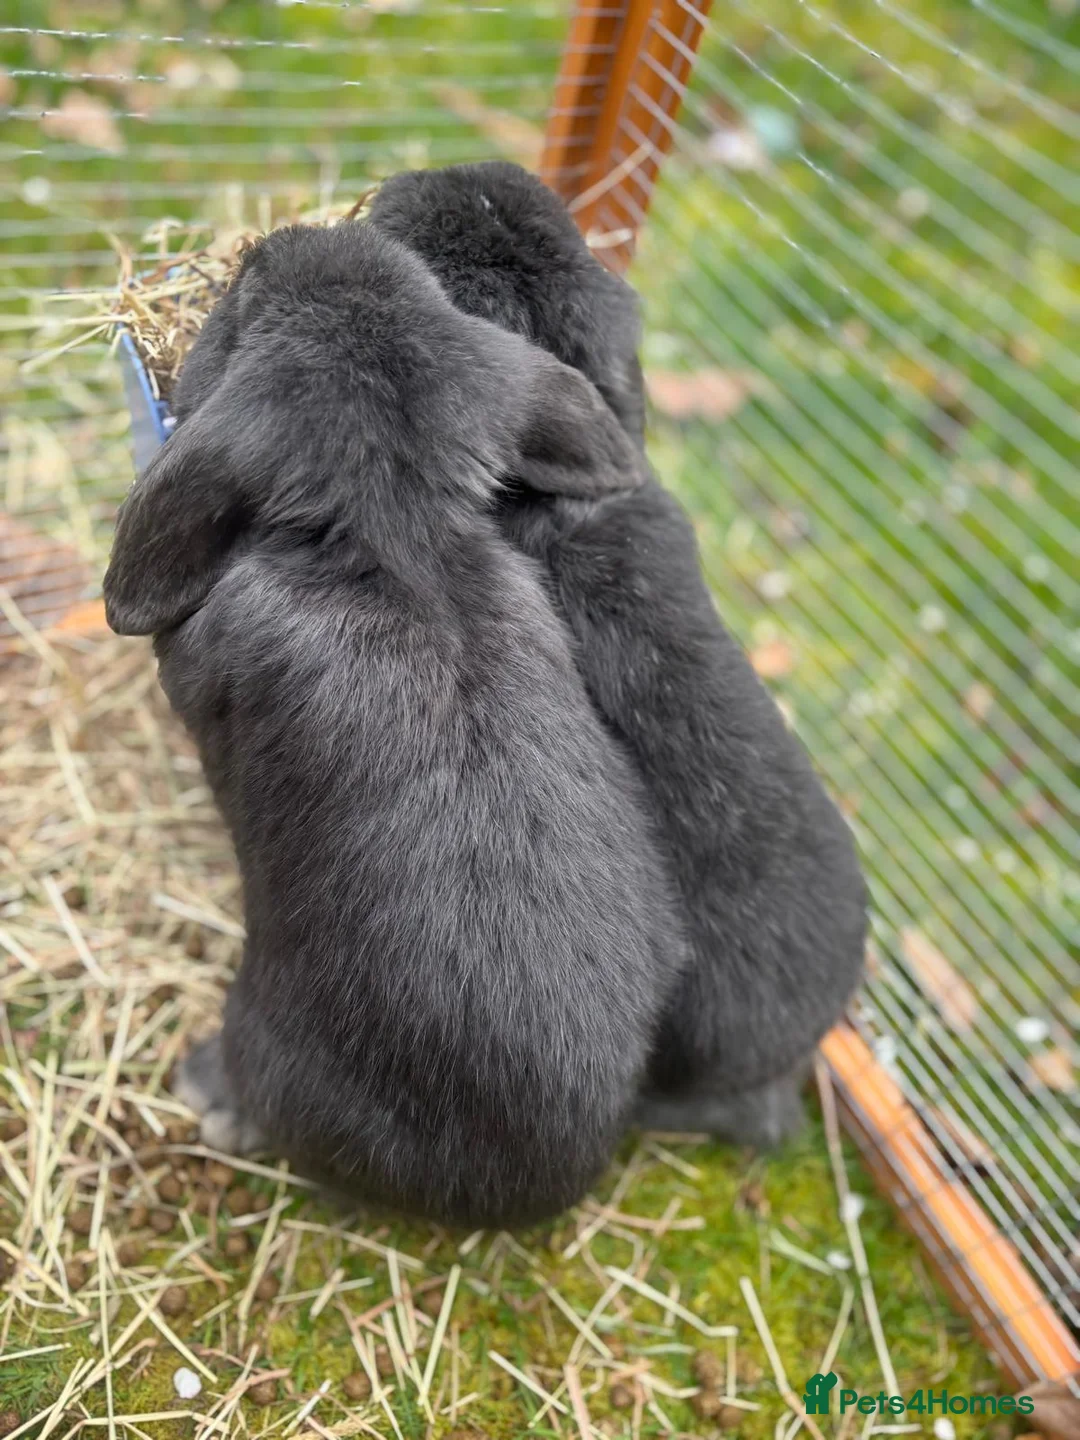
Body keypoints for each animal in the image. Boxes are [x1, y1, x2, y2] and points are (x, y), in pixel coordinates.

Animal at [102, 219, 689, 1226]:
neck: (397, 540)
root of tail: (546, 1181)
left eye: (248, 310)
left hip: (269, 1038)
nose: (285, 239)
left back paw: (207, 1092)